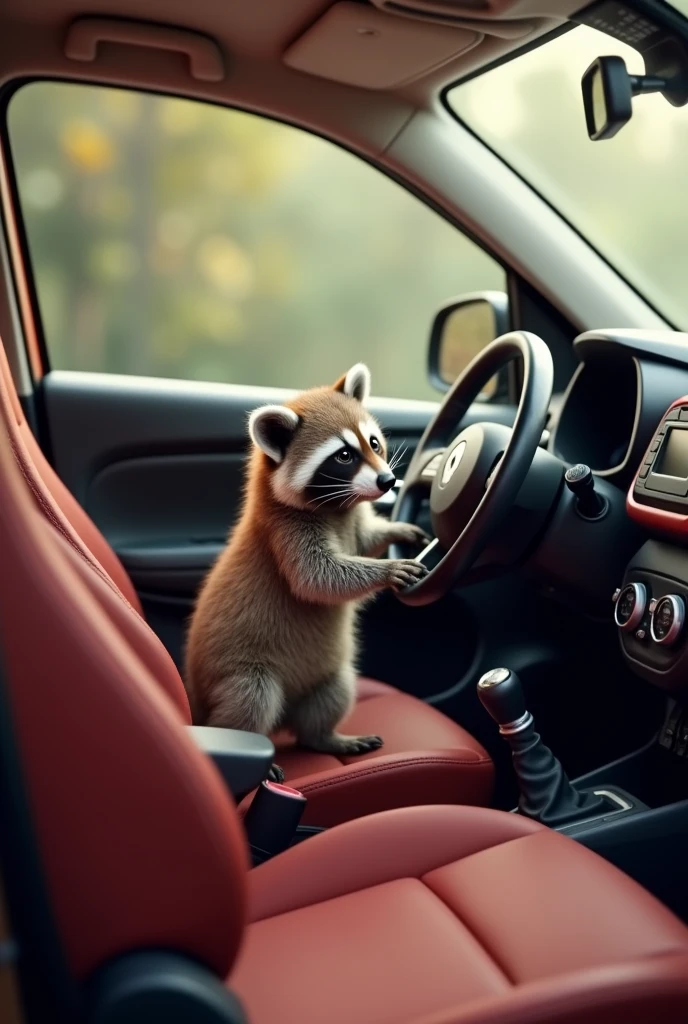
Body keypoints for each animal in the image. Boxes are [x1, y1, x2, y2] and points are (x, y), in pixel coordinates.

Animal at [185, 362, 427, 770]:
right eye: (344, 456)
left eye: (374, 443)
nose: (388, 480)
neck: (338, 505)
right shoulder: (285, 532)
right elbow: (317, 578)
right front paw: (386, 569)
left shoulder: (350, 520)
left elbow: (364, 539)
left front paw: (397, 530)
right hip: (242, 673)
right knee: (251, 698)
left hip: (325, 676)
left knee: (336, 690)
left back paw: (323, 736)